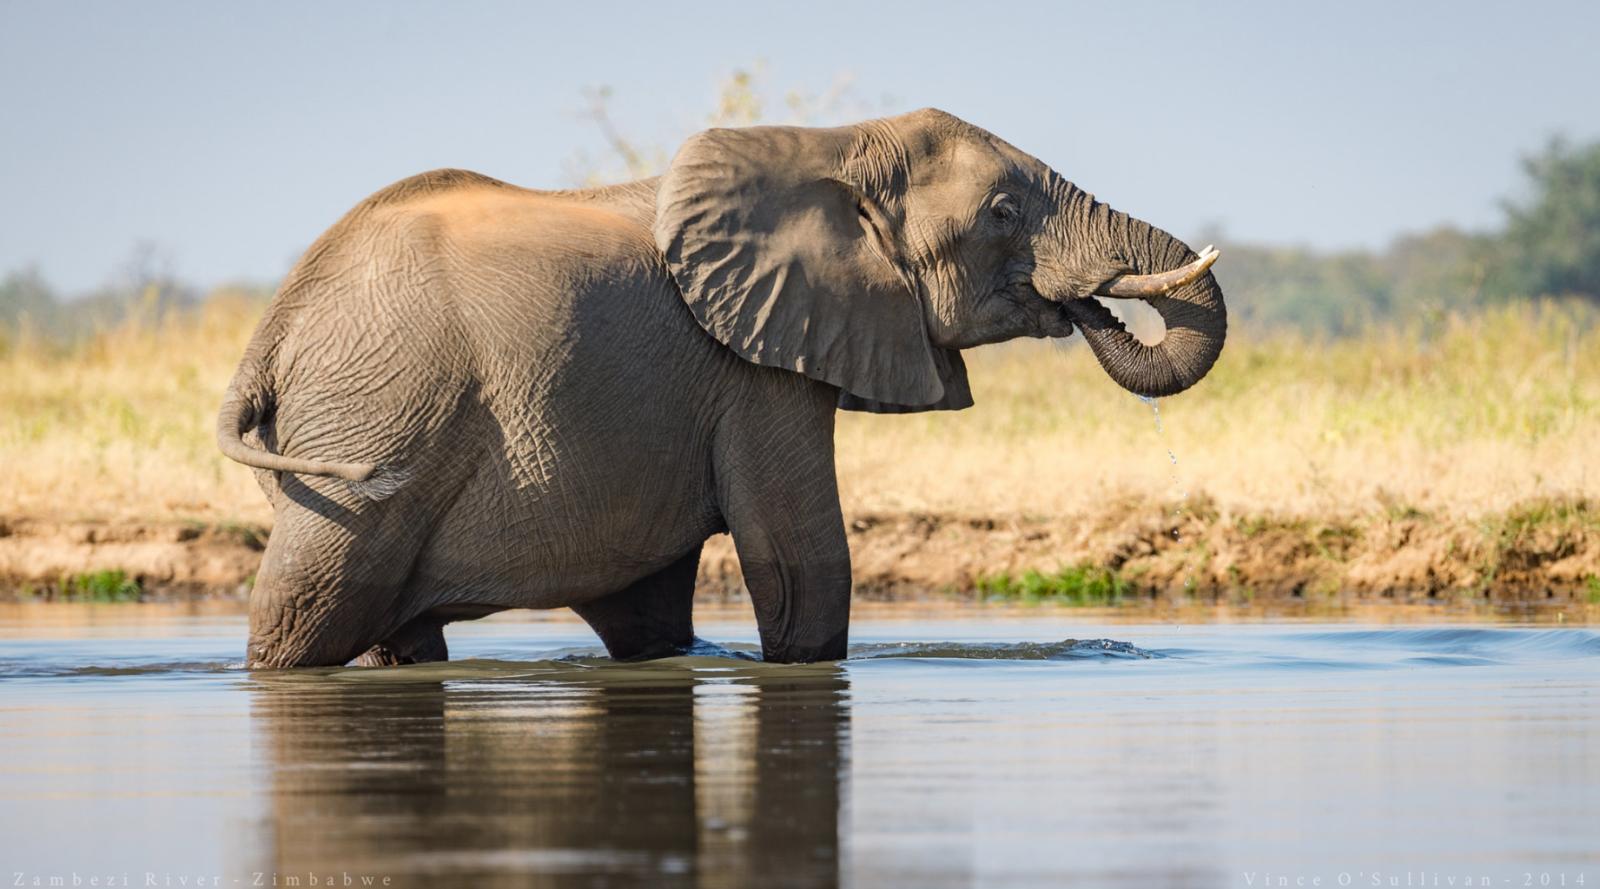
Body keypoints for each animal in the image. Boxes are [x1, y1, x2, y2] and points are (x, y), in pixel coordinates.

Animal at [217, 108, 1226, 668]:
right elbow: (800, 560)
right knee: (306, 605)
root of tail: (272, 329)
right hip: (374, 419)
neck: (837, 146)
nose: (1086, 305)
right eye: (1004, 212)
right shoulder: (756, 368)